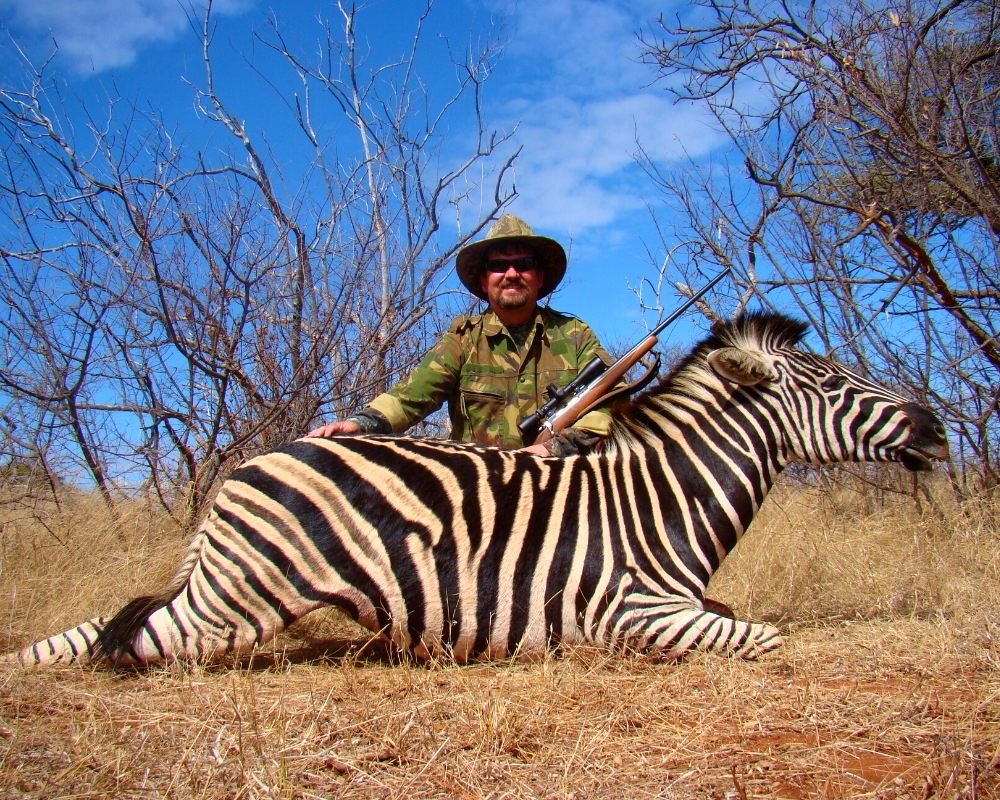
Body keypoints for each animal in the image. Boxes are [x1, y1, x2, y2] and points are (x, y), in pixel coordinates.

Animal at [7, 312, 948, 668]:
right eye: (834, 383)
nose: (936, 427)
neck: (660, 499)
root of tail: (246, 471)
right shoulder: (633, 612)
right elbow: (769, 639)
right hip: (237, 605)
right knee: (130, 639)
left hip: (220, 589)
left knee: (104, 624)